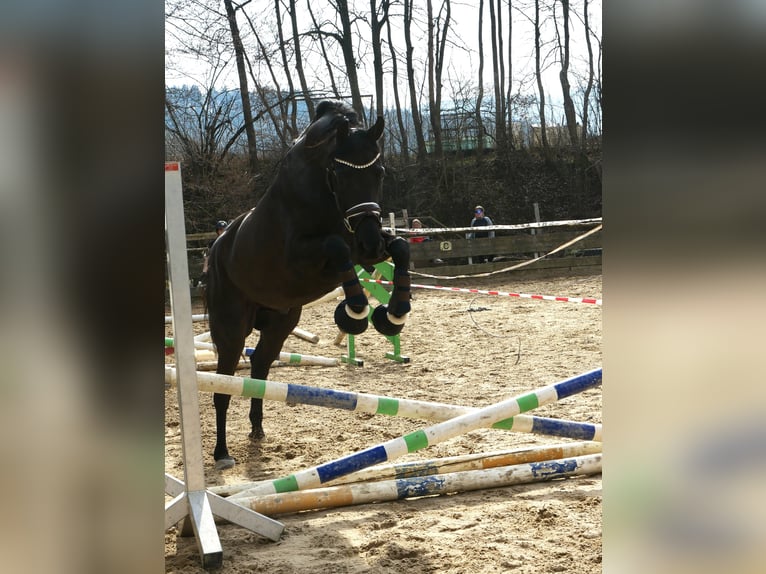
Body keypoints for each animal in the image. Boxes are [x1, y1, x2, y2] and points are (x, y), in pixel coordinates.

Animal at [205, 100, 411, 470]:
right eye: (341, 175)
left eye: (379, 172)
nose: (372, 243)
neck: (324, 192)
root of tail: (215, 249)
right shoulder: (302, 259)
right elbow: (336, 246)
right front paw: (354, 313)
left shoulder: (362, 243)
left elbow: (400, 246)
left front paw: (394, 314)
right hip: (231, 328)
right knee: (223, 386)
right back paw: (222, 453)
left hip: (279, 324)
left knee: (259, 368)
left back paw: (257, 430)